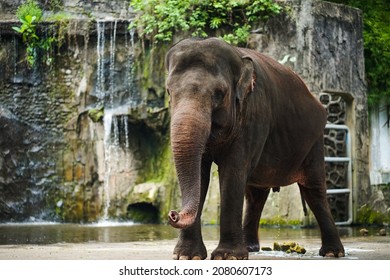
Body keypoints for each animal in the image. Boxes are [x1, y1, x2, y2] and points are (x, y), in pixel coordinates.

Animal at [165, 37, 344, 260]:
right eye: (169, 92)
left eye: (219, 94)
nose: (173, 214)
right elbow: (201, 173)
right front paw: (187, 257)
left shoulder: (253, 115)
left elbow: (232, 172)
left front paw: (228, 256)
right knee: (255, 195)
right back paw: (250, 247)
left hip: (315, 140)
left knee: (314, 190)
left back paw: (332, 252)